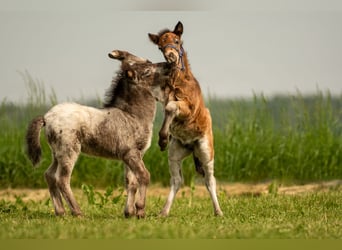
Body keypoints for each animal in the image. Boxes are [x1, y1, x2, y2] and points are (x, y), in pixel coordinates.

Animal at [26, 50, 170, 217]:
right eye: (147, 71)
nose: (168, 65)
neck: (132, 115)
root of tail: (47, 117)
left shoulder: (132, 155)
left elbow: (131, 182)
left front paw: (129, 213)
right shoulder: (131, 153)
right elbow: (144, 176)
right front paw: (140, 211)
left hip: (57, 153)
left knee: (49, 175)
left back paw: (61, 212)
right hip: (69, 150)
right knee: (62, 179)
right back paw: (78, 213)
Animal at [148, 21, 223, 216]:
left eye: (177, 41)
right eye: (160, 47)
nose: (171, 56)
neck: (178, 81)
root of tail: (191, 147)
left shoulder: (188, 108)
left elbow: (171, 107)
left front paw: (163, 138)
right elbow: (167, 107)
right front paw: (162, 139)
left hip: (205, 150)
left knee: (209, 180)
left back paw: (218, 211)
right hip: (175, 153)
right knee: (176, 181)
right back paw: (163, 212)